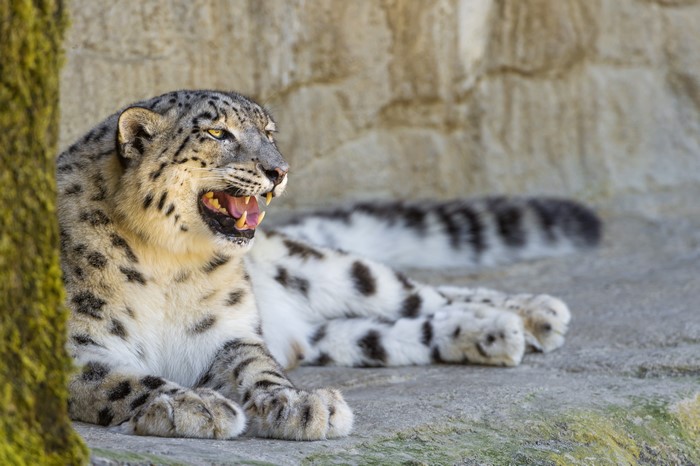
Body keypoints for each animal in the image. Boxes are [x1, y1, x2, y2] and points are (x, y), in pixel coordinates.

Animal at [56, 90, 601, 440]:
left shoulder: (230, 333)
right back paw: (493, 332)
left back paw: (534, 315)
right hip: (333, 332)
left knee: (425, 294)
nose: (279, 170)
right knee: (394, 332)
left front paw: (300, 405)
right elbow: (125, 380)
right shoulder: (71, 347)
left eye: (269, 132)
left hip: (334, 272)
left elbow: (259, 370)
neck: (169, 264)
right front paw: (195, 405)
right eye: (216, 131)